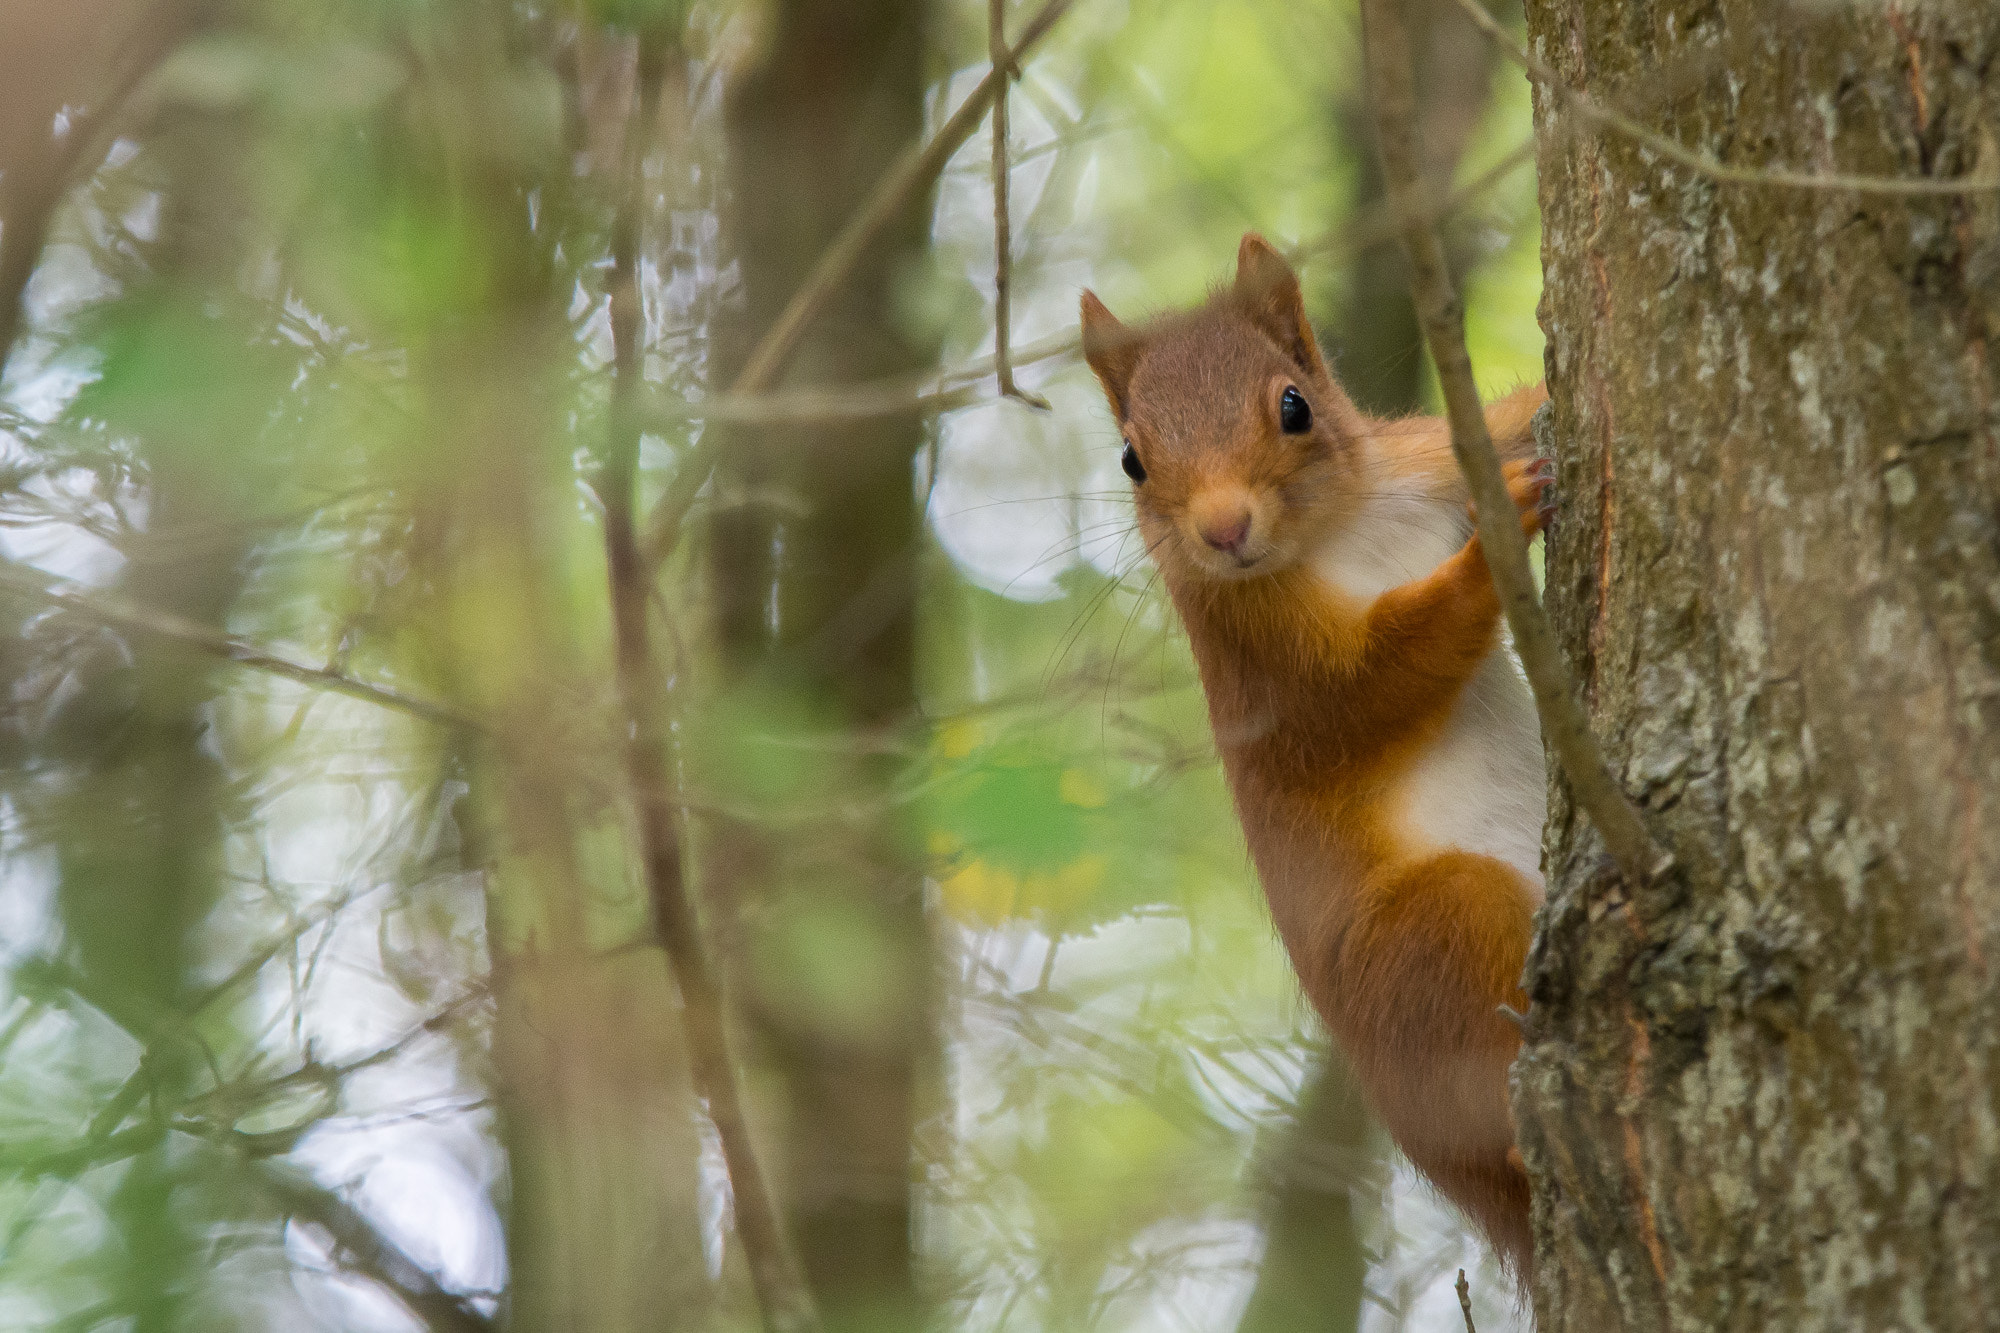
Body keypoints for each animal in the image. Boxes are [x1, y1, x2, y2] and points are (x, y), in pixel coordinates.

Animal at [1088, 233, 1552, 1272]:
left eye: (1295, 404)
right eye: (1132, 458)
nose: (1223, 530)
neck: (1343, 527)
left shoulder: (1430, 457)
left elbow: (1509, 424)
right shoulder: (1271, 669)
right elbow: (1379, 682)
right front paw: (1489, 554)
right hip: (1431, 941)